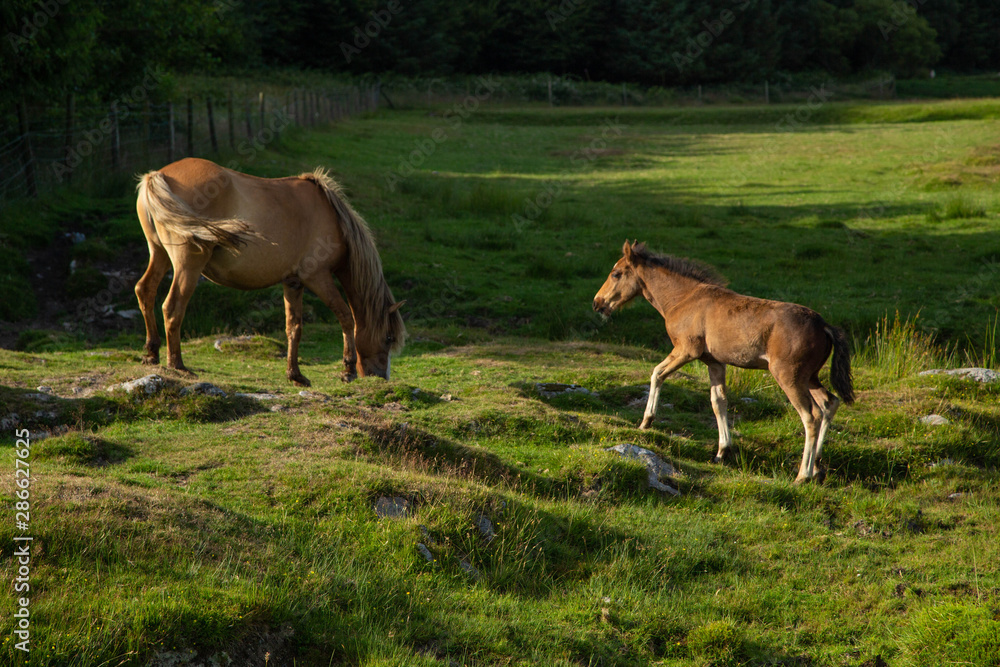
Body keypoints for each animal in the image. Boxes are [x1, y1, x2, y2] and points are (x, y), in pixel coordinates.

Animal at [135, 158, 404, 386]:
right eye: (389, 338)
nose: (381, 377)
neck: (332, 216)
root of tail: (158, 175)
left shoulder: (293, 282)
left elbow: (294, 328)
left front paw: (295, 375)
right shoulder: (318, 277)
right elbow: (346, 317)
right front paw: (347, 370)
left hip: (158, 253)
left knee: (145, 291)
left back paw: (152, 353)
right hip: (188, 265)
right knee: (173, 308)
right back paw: (177, 365)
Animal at [588, 243, 856, 482]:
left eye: (616, 273)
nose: (597, 303)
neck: (682, 298)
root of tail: (824, 325)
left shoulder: (687, 350)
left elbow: (657, 373)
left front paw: (646, 421)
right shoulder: (714, 362)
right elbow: (718, 401)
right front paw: (721, 451)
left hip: (788, 376)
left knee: (811, 416)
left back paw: (803, 475)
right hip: (809, 377)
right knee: (829, 403)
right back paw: (818, 464)